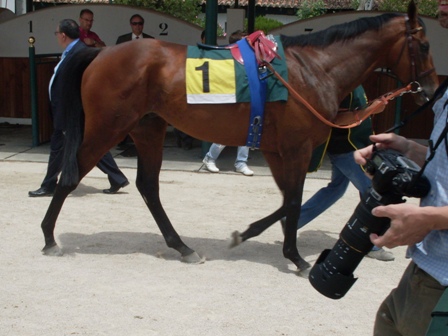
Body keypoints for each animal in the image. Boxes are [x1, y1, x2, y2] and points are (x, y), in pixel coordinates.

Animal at [43, 0, 438, 272]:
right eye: (424, 45)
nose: (432, 88)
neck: (313, 69)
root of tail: (100, 53)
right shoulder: (296, 149)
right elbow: (293, 202)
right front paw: (294, 257)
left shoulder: (279, 151)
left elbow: (288, 202)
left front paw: (259, 238)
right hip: (107, 127)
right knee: (71, 174)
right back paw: (49, 237)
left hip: (148, 128)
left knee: (148, 187)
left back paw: (182, 247)